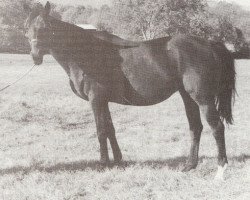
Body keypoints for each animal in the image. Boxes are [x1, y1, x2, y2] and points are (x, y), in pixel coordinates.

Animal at [23, 1, 240, 180]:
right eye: (27, 29)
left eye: (45, 27)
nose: (35, 56)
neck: (87, 53)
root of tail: (209, 43)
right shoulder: (104, 101)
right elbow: (110, 129)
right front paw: (118, 160)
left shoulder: (96, 99)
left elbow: (101, 131)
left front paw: (103, 164)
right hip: (187, 97)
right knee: (196, 127)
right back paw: (189, 166)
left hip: (203, 98)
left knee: (216, 127)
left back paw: (220, 170)